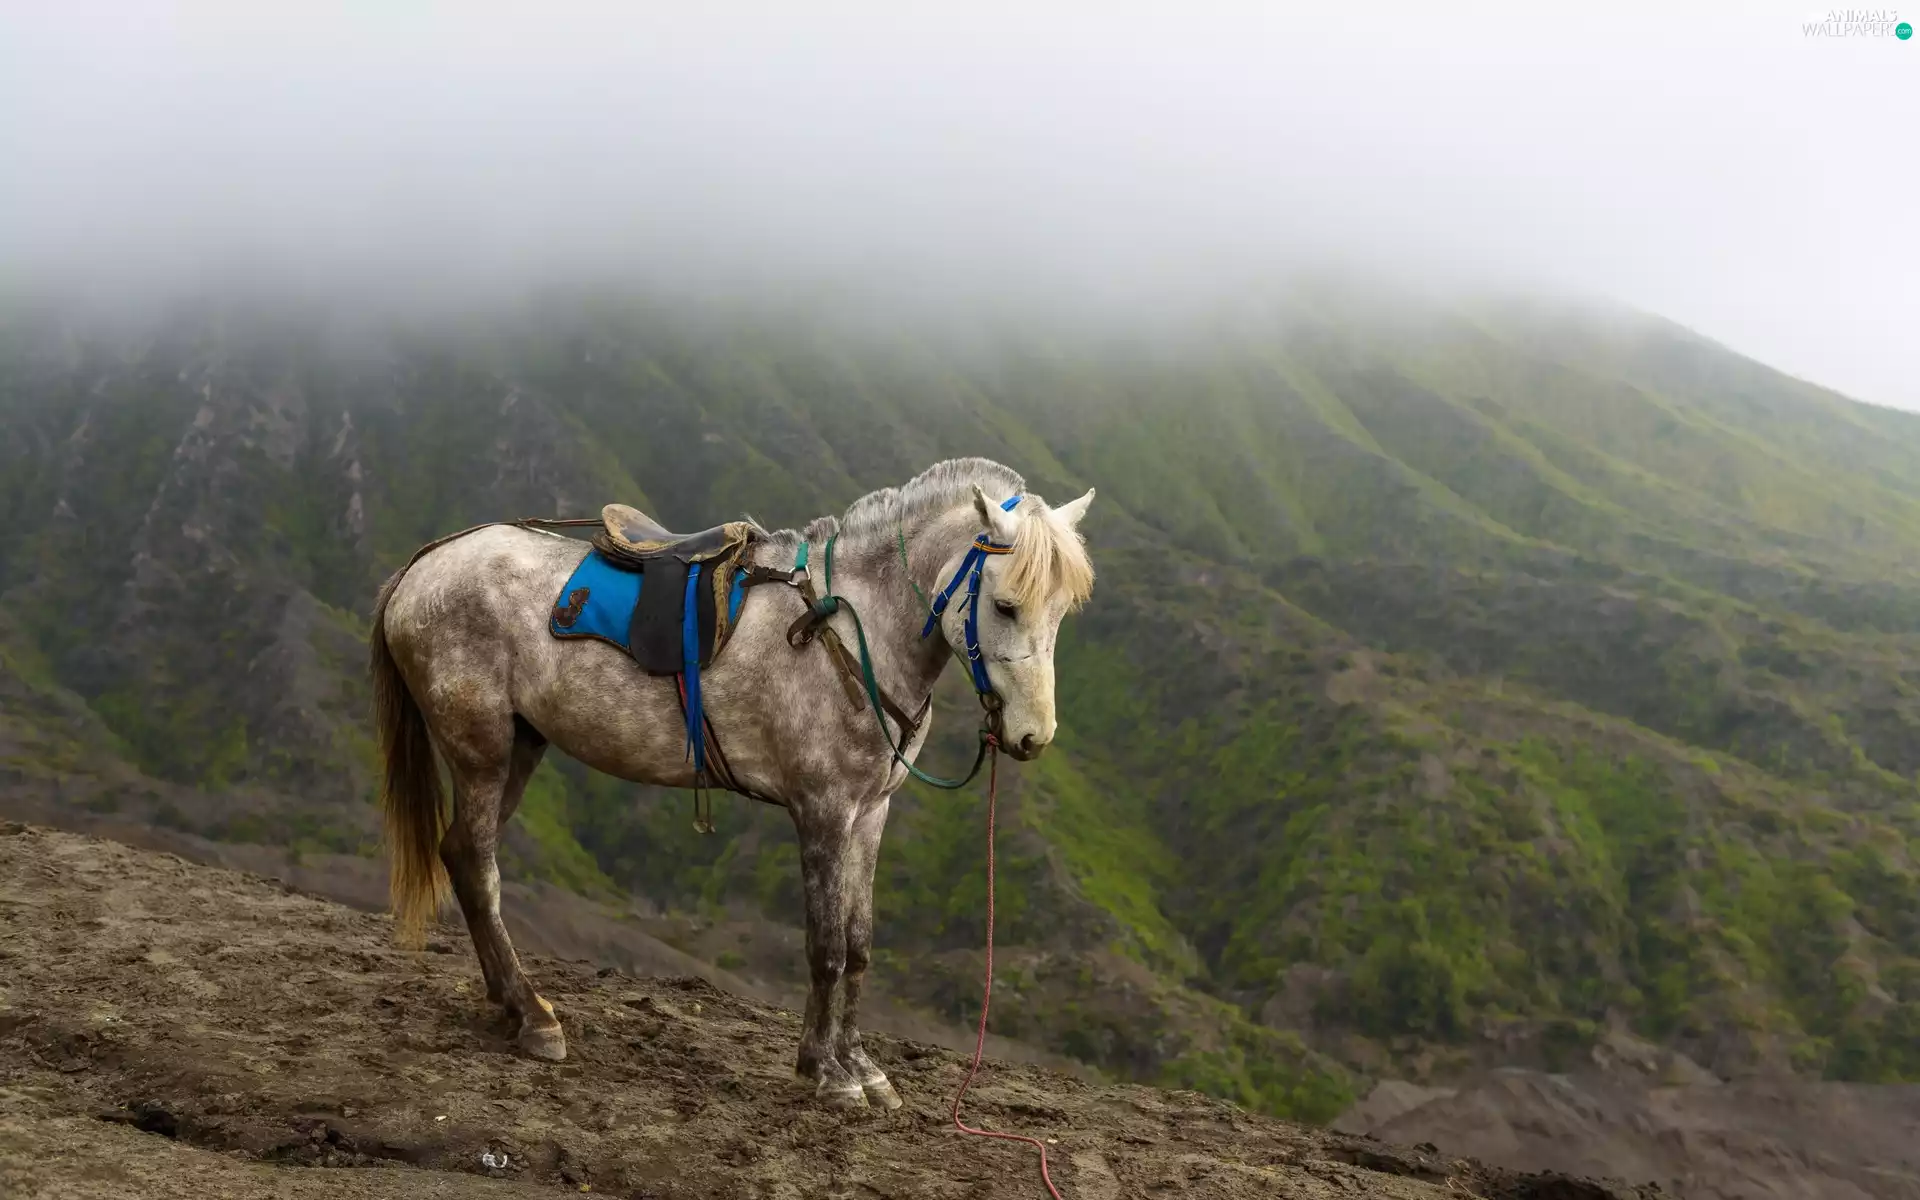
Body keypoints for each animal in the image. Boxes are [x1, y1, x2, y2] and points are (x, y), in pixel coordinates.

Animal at [369, 457, 1095, 1108]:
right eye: (1005, 605)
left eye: (1062, 611)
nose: (1033, 736)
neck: (848, 626)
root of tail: (425, 564)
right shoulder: (823, 811)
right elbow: (827, 946)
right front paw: (829, 1075)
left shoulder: (870, 813)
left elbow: (859, 944)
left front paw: (859, 1065)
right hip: (482, 752)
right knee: (477, 865)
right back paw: (534, 1016)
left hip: (521, 747)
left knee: (463, 856)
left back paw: (512, 1005)